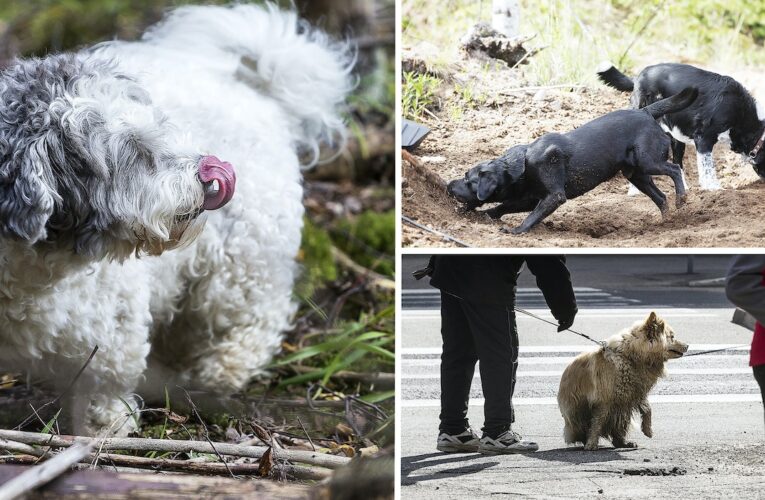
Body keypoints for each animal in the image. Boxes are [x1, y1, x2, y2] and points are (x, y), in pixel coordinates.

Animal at [0, 2, 352, 434]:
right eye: (132, 151)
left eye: (160, 126)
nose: (210, 171)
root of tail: (251, 86)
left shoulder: (112, 332)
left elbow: (104, 388)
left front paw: (105, 434)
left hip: (244, 262)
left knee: (256, 317)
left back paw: (223, 369)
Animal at [556, 312, 688, 450]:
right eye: (672, 337)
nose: (688, 346)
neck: (631, 357)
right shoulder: (604, 400)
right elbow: (598, 421)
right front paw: (591, 443)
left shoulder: (635, 392)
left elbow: (647, 408)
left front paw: (648, 430)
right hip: (578, 413)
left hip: (621, 410)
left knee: (618, 427)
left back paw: (623, 442)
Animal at [596, 61, 764, 189]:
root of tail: (638, 76)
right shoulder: (704, 138)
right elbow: (707, 168)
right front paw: (714, 190)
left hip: (676, 137)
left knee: (677, 163)